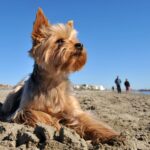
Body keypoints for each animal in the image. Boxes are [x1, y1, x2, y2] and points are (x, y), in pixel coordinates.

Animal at [0, 7, 118, 143]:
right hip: (13, 94)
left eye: (75, 40)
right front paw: (54, 123)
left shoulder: (75, 111)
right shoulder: (22, 111)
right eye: (60, 41)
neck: (54, 81)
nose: (80, 45)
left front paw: (110, 135)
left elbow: (88, 121)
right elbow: (37, 114)